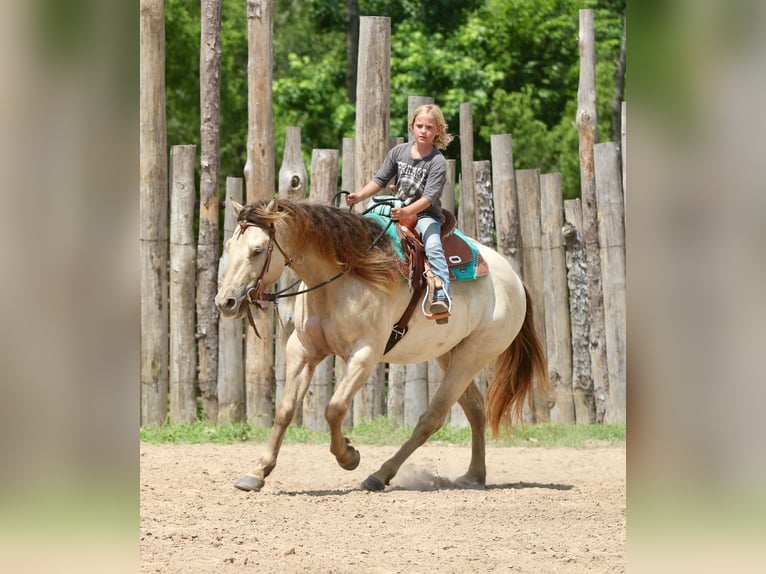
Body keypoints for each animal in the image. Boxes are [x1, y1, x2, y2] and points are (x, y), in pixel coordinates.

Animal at [215, 198, 550, 492]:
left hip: (474, 355)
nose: (225, 301)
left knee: (432, 417)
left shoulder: (364, 355)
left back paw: (379, 475)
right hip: (450, 354)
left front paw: (349, 456)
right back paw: (473, 475)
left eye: (258, 250)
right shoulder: (302, 351)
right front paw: (257, 472)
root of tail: (514, 280)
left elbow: (334, 409)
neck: (343, 275)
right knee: (476, 409)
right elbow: (285, 411)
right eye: (230, 247)